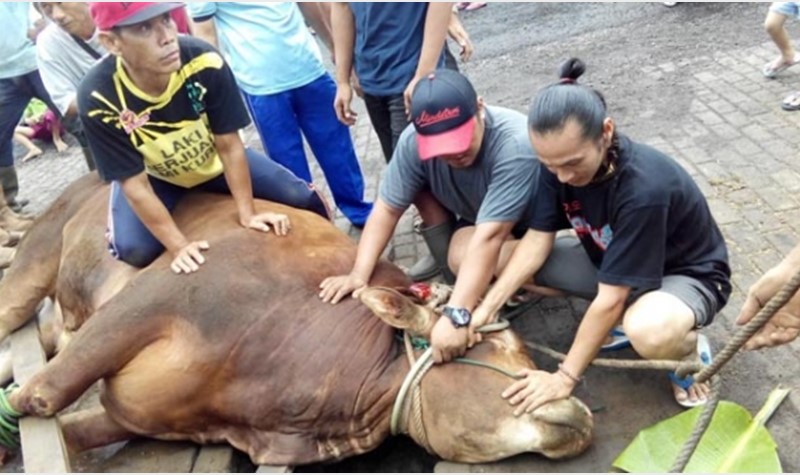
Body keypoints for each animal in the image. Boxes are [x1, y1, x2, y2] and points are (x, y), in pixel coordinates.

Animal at [0, 174, 592, 464]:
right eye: (492, 347)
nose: (579, 413)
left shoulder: (136, 414)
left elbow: (67, 427)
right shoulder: (159, 294)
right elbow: (42, 396)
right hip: (41, 254)